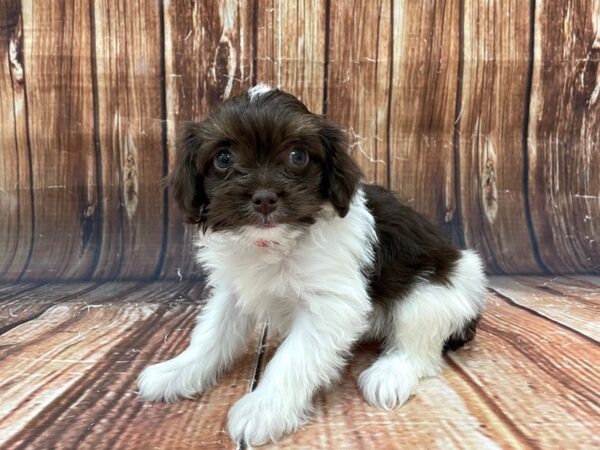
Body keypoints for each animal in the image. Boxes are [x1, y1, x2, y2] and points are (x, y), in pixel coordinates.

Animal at [137, 85, 488, 446]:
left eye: (298, 156)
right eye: (223, 158)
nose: (264, 198)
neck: (275, 244)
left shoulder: (330, 306)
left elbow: (292, 359)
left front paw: (263, 408)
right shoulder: (231, 291)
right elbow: (211, 334)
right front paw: (178, 370)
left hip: (432, 296)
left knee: (419, 348)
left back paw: (391, 373)